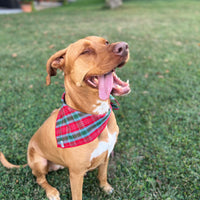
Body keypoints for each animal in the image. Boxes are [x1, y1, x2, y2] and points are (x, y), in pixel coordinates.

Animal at [0, 36, 130, 200]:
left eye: (106, 42)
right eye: (86, 51)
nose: (123, 46)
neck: (96, 114)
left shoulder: (105, 155)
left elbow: (103, 175)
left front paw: (105, 187)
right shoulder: (76, 173)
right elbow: (77, 195)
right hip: (39, 161)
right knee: (40, 178)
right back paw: (51, 191)